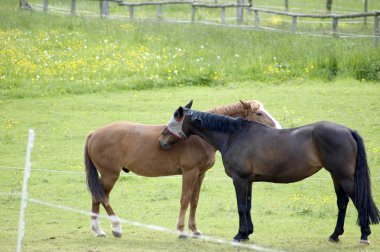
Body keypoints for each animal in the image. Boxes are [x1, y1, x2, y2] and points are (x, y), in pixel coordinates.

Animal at [84, 99, 280, 238]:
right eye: (259, 113)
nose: (278, 128)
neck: (198, 137)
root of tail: (94, 133)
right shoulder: (189, 172)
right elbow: (185, 200)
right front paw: (181, 230)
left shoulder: (200, 174)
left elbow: (194, 200)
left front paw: (194, 230)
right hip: (110, 175)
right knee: (102, 197)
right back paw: (115, 228)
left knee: (97, 197)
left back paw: (98, 230)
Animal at [159, 101, 378, 244]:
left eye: (172, 122)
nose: (161, 141)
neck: (233, 136)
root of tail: (348, 130)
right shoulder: (248, 181)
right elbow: (248, 206)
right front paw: (247, 233)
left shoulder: (239, 180)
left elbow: (241, 207)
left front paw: (239, 235)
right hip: (336, 177)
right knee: (342, 203)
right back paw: (335, 235)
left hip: (345, 177)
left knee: (359, 201)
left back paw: (364, 236)